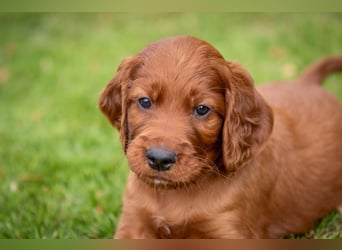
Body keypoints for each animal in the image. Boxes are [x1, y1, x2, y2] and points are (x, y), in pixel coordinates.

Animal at [99, 35, 342, 238]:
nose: (159, 159)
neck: (173, 194)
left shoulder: (228, 230)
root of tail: (307, 81)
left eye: (202, 109)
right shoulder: (133, 221)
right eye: (145, 101)